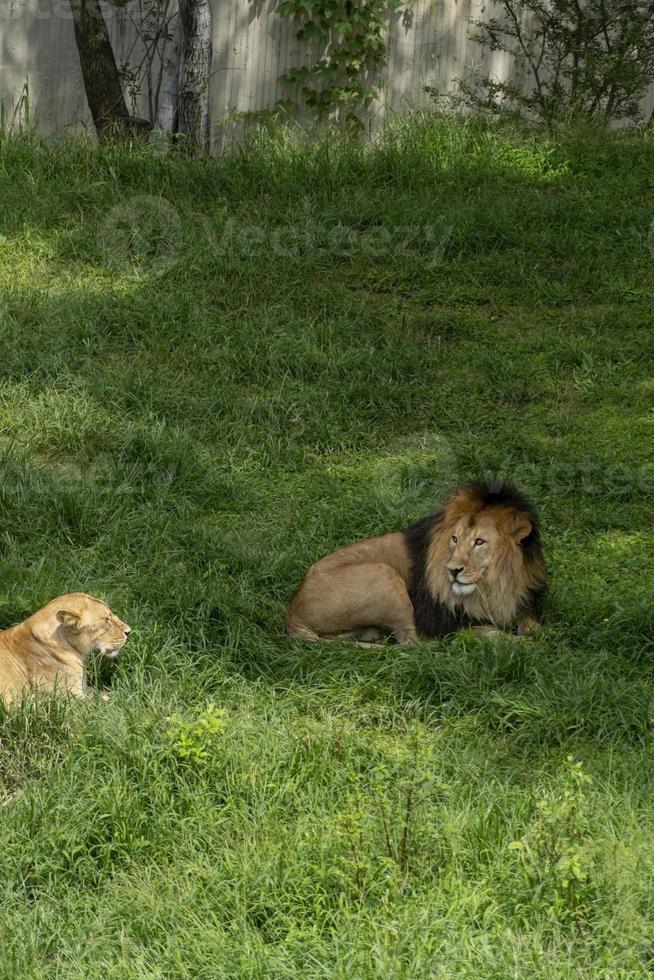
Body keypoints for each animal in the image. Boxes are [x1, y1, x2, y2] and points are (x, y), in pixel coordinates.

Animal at [0, 588, 132, 704]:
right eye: (106, 620)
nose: (128, 631)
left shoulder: (84, 688)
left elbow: (106, 693)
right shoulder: (70, 699)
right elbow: (107, 704)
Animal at [288, 480, 548, 644]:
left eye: (479, 542)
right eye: (455, 539)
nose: (452, 571)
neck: (496, 583)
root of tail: (292, 613)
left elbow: (533, 624)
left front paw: (540, 634)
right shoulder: (442, 620)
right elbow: (489, 630)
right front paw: (520, 643)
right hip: (384, 574)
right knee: (411, 643)